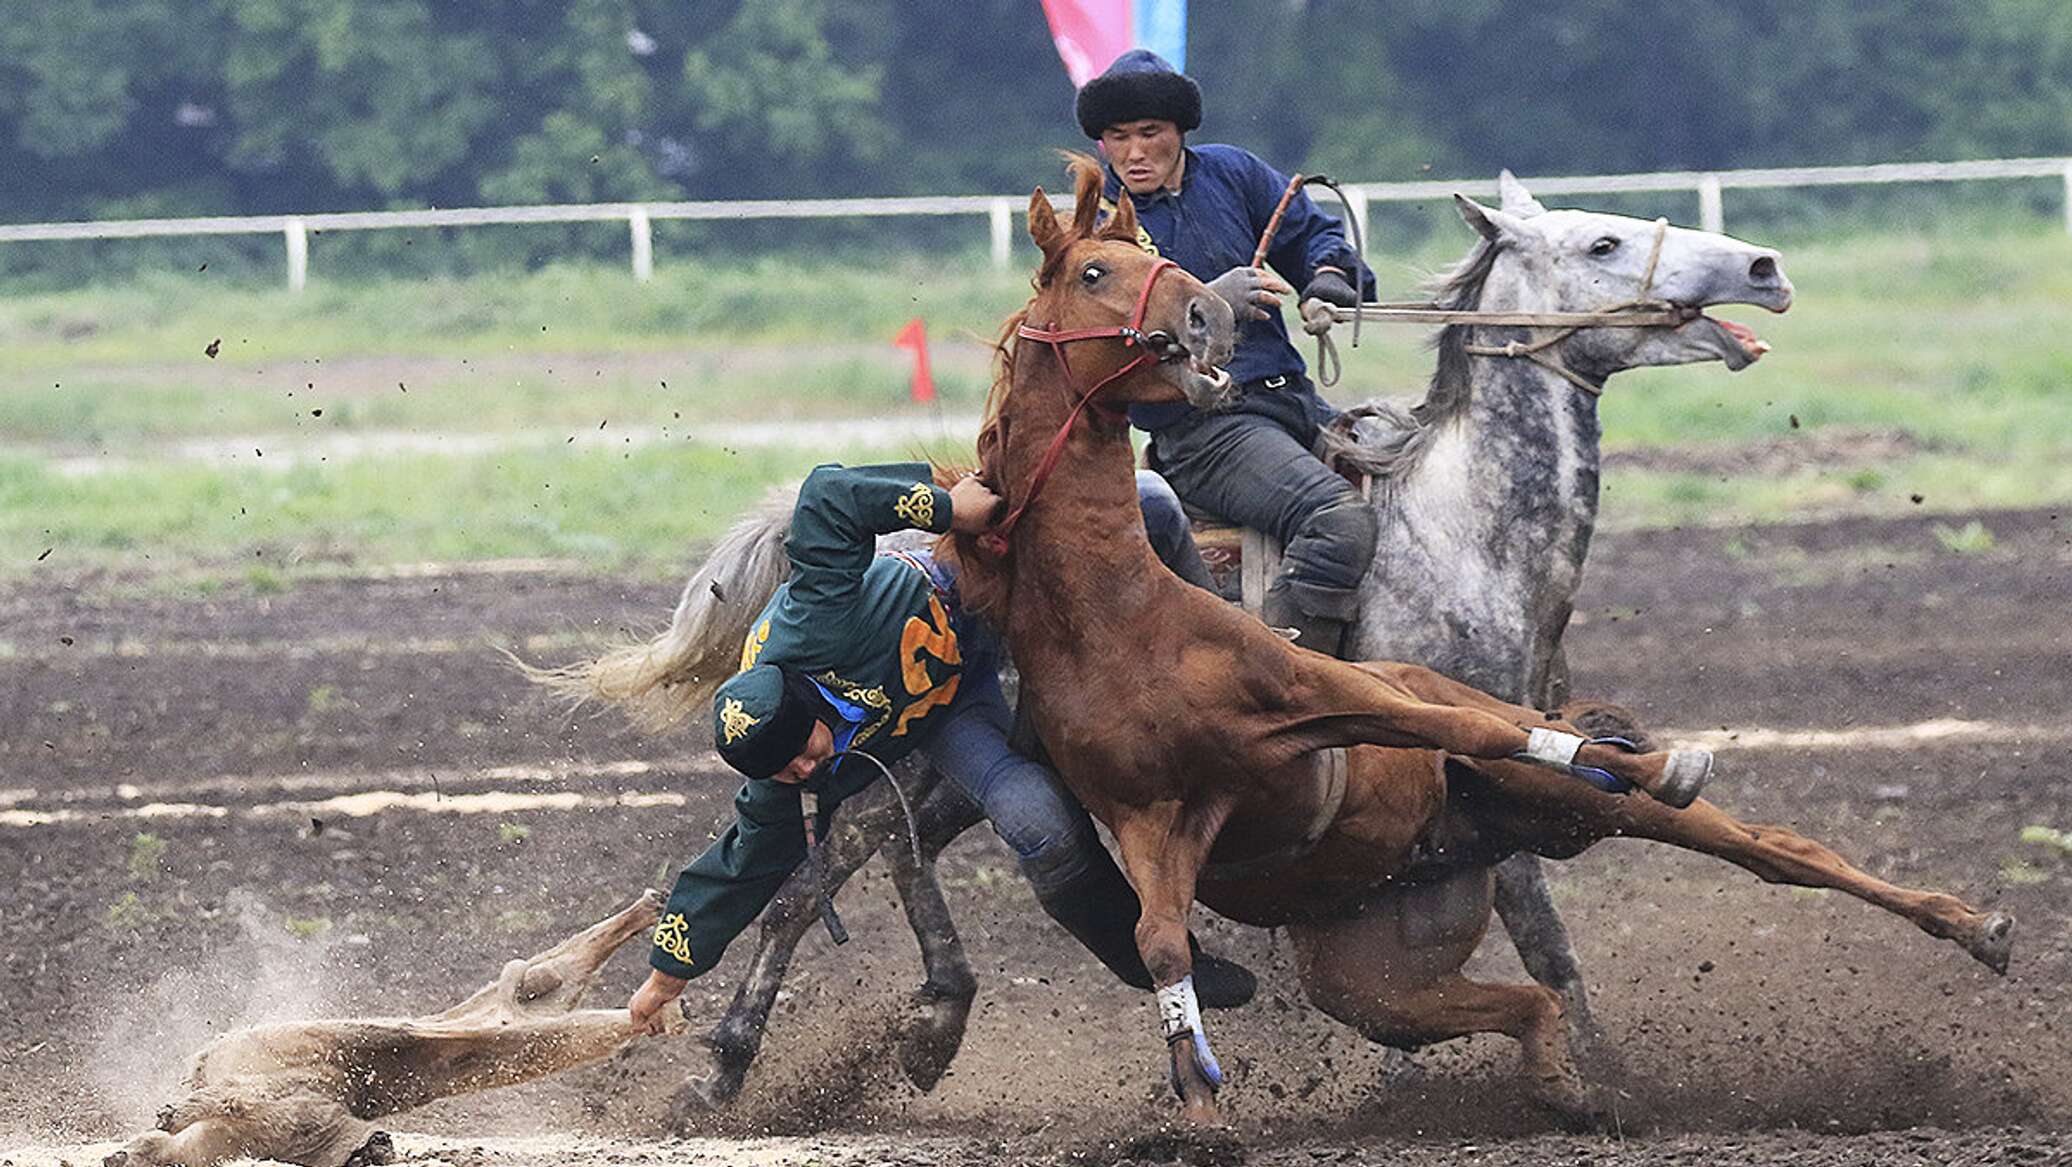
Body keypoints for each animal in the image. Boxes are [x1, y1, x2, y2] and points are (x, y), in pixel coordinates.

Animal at [542, 176, 1790, 1119]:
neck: (1456, 526)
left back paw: (923, 1020)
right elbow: (1543, 939)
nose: (1763, 266)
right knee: (819, 872)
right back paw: (730, 1065)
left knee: (883, 854)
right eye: (1601, 239)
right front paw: (1592, 1071)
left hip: (961, 761)